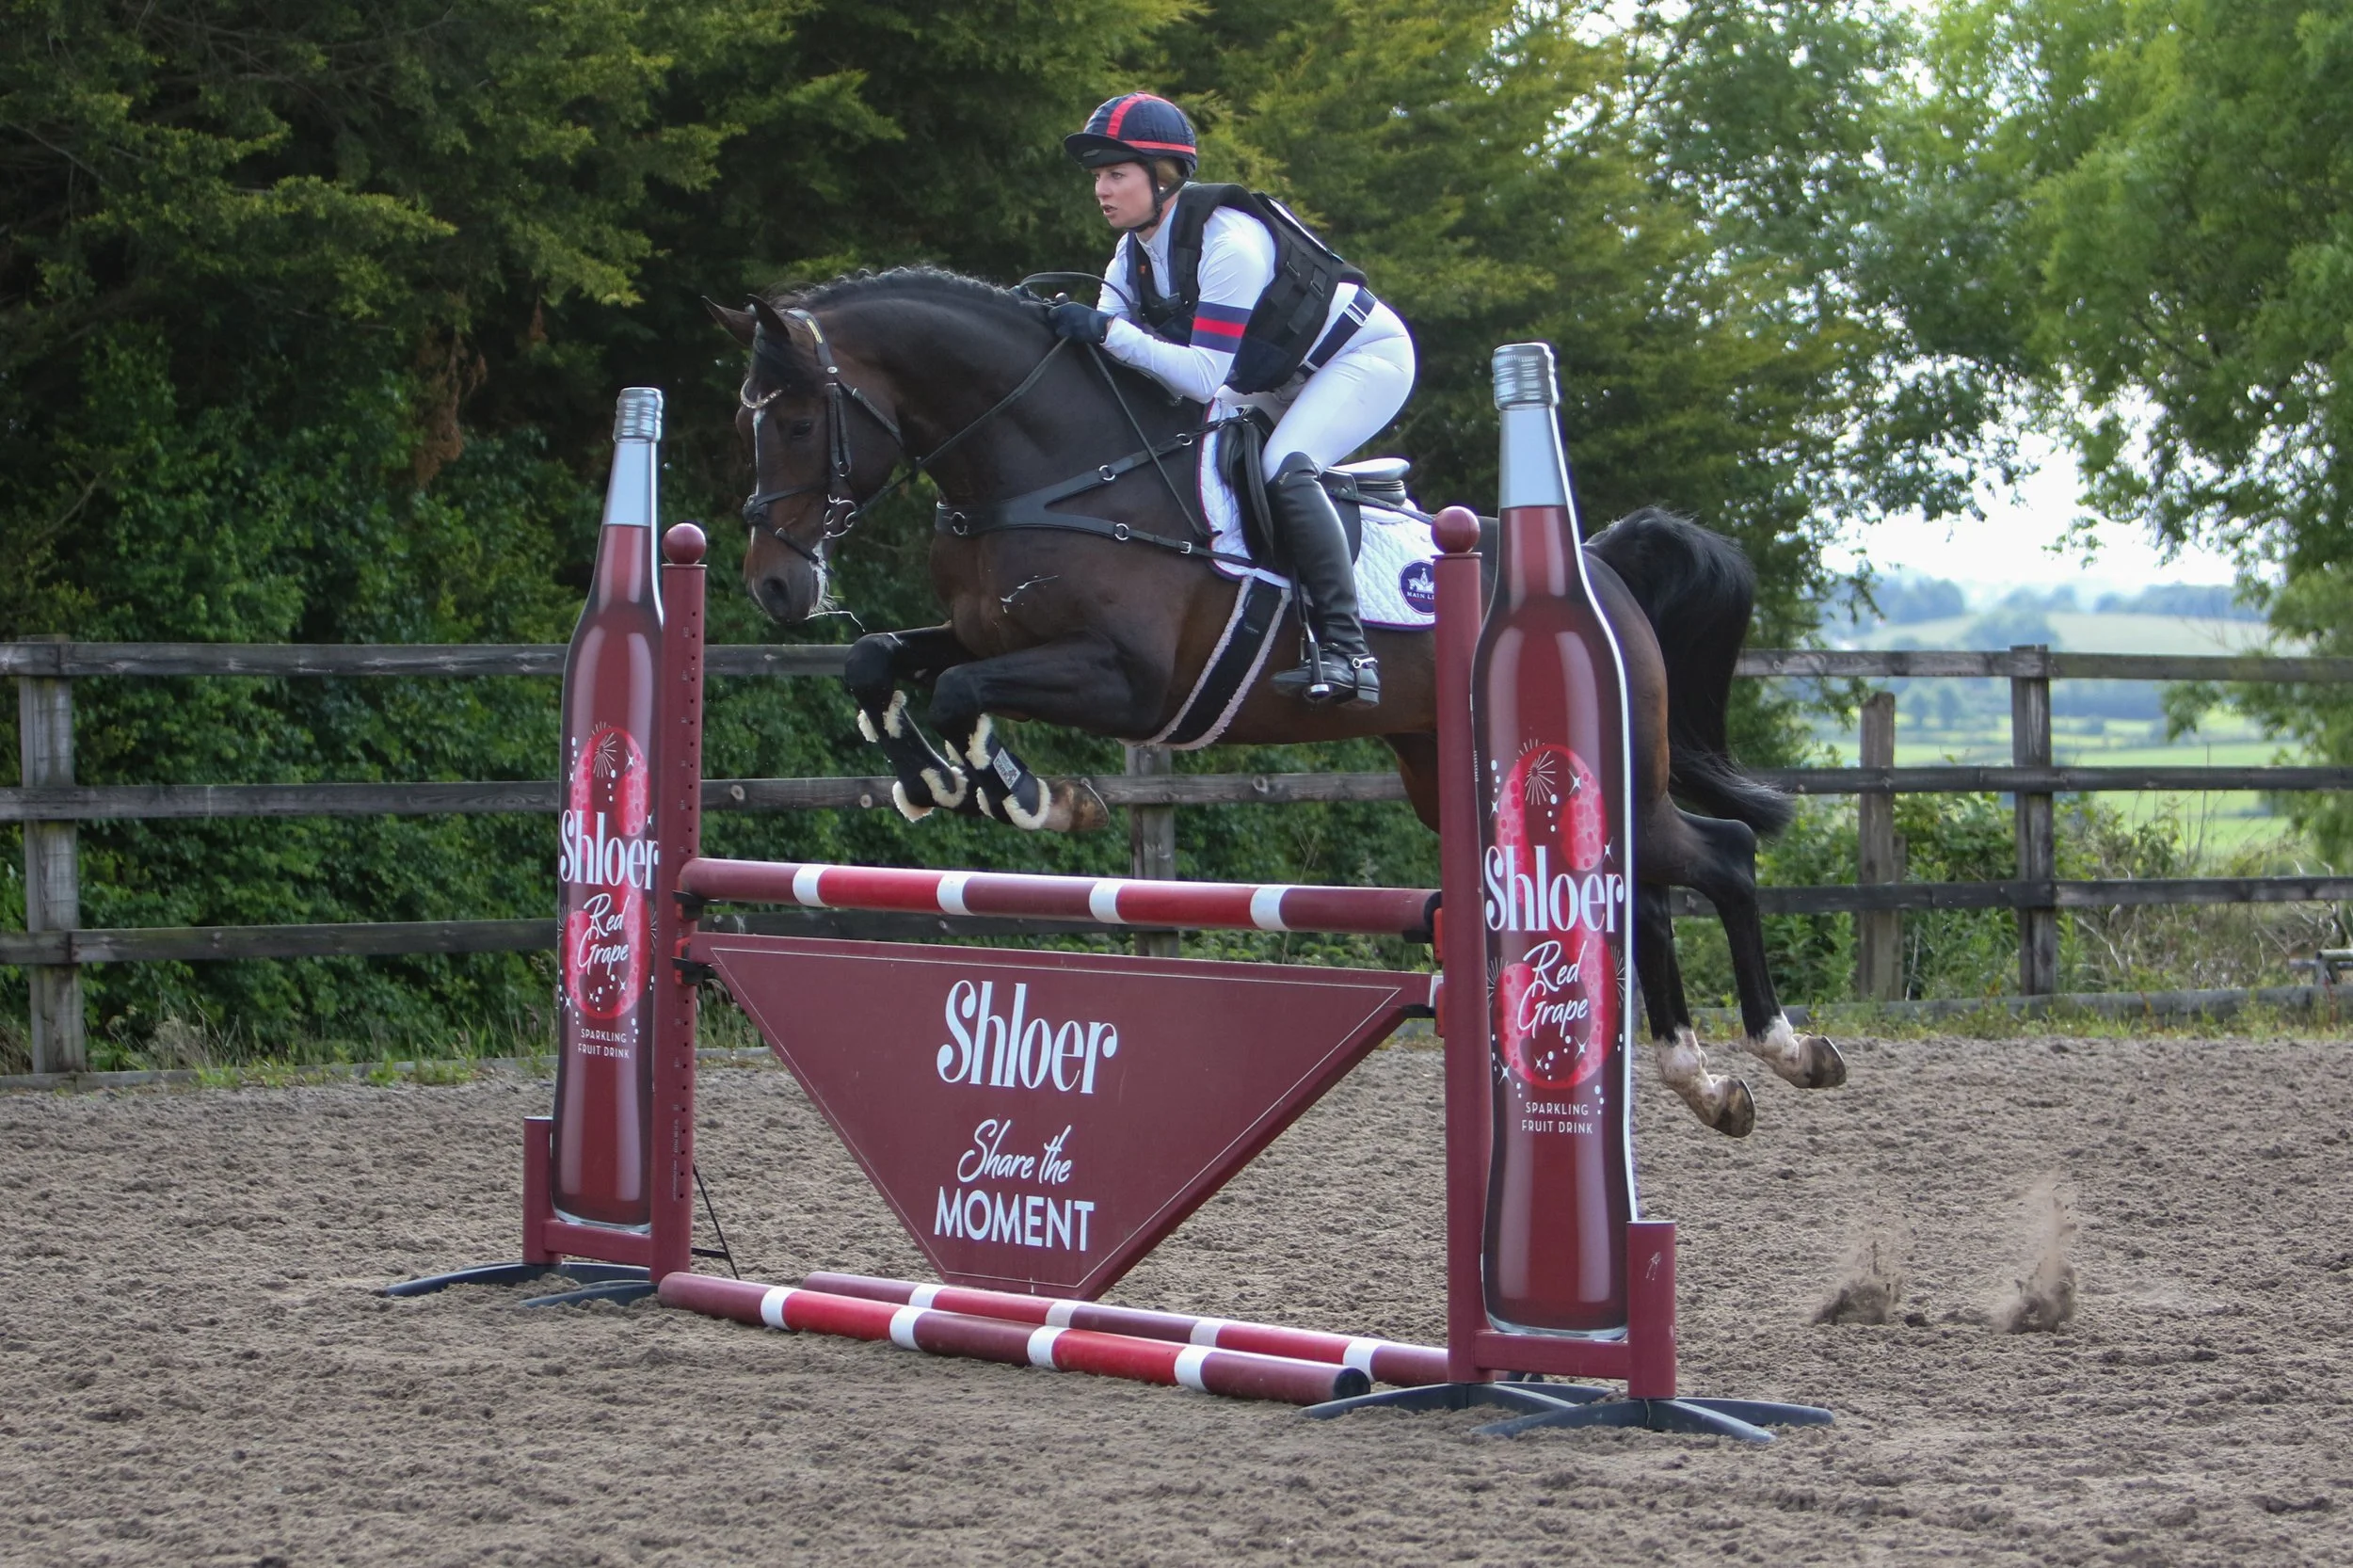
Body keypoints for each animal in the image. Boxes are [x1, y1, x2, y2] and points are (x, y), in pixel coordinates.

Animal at [705, 268, 1845, 1137]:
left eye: (798, 420)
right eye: (744, 425)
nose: (775, 586)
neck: (1058, 470)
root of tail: (1596, 566)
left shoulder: (1124, 680)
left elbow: (956, 691)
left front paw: (1032, 796)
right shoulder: (994, 636)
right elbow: (879, 663)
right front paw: (938, 784)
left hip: (1608, 768)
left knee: (1718, 857)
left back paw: (1784, 1050)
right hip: (1454, 775)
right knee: (1638, 891)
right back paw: (1703, 1080)